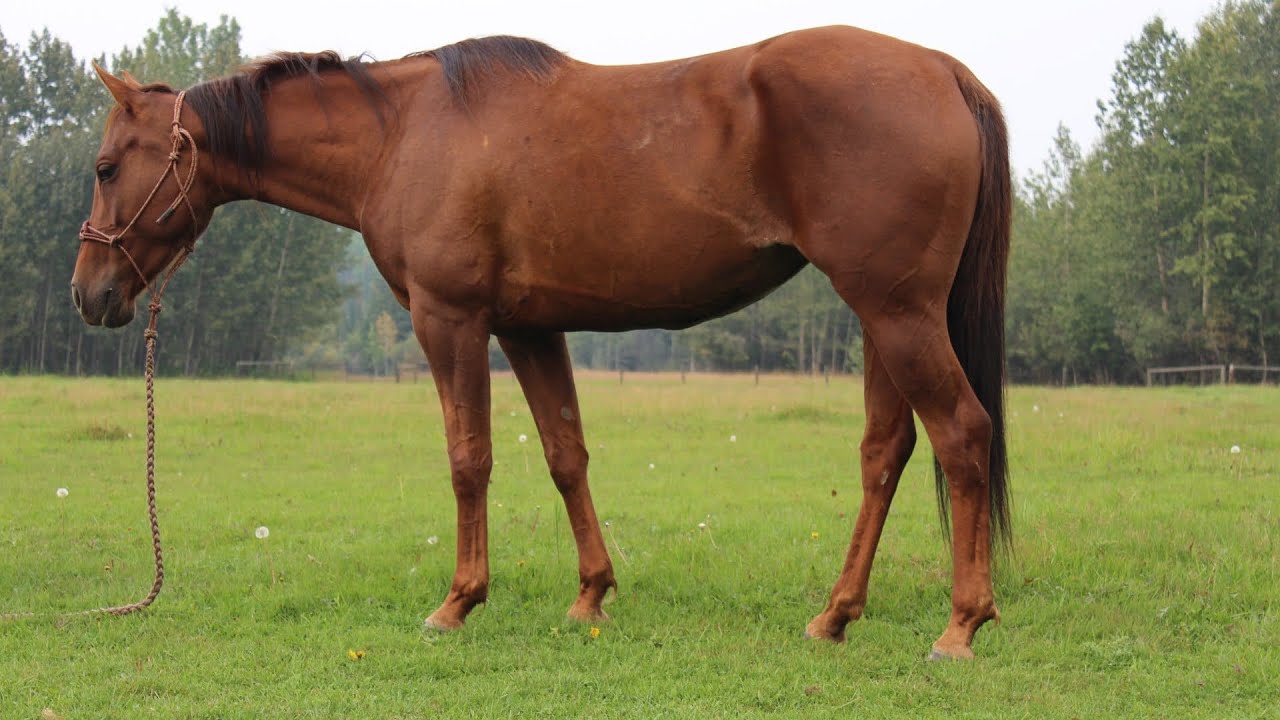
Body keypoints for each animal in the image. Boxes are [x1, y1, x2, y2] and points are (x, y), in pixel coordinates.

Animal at [71, 25, 1011, 659]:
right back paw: (836, 614)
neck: (402, 133)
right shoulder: (529, 329)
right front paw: (591, 596)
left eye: (108, 166)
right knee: (885, 452)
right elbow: (565, 455)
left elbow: (469, 460)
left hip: (899, 314)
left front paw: (458, 602)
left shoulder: (449, 320)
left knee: (963, 435)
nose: (90, 293)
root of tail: (948, 71)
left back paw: (961, 624)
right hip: (882, 318)